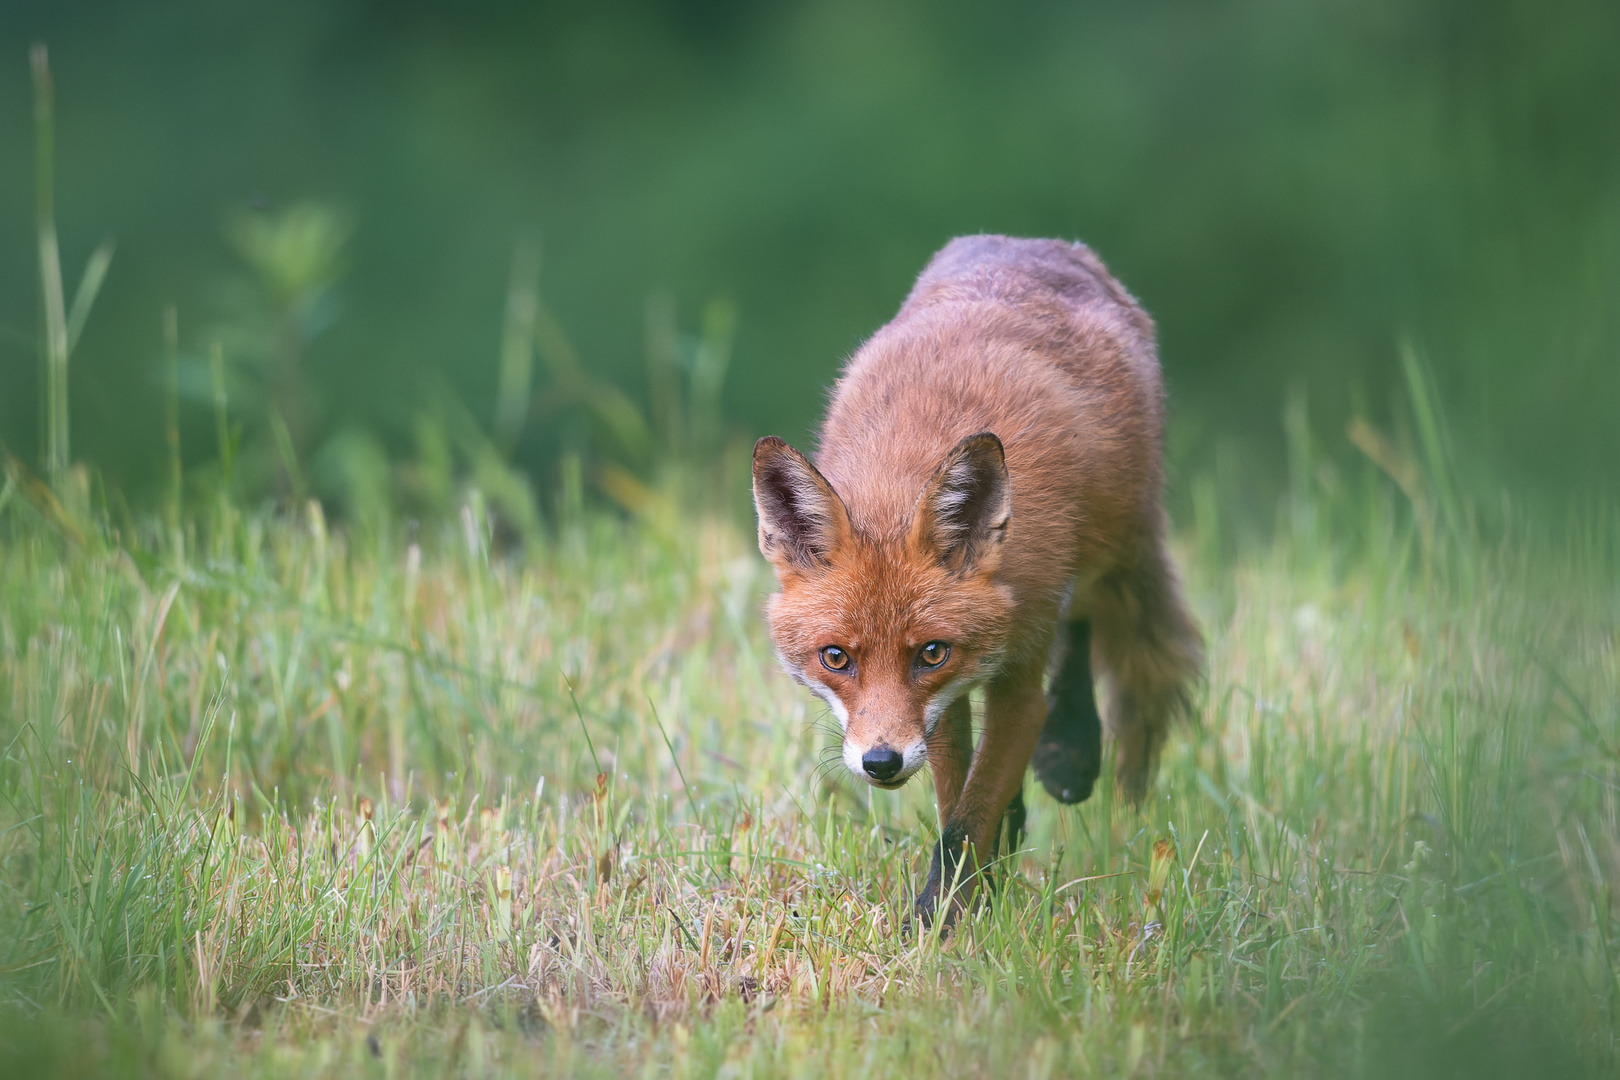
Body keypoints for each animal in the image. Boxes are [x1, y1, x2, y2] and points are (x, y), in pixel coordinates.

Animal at [751, 234, 1198, 919]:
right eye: (835, 657)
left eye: (930, 652)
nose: (881, 763)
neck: (905, 471)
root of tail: (1032, 243)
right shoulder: (939, 709)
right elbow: (956, 796)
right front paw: (976, 892)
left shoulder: (1014, 679)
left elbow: (970, 814)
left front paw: (940, 919)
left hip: (1113, 546)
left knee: (1084, 624)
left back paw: (1071, 750)